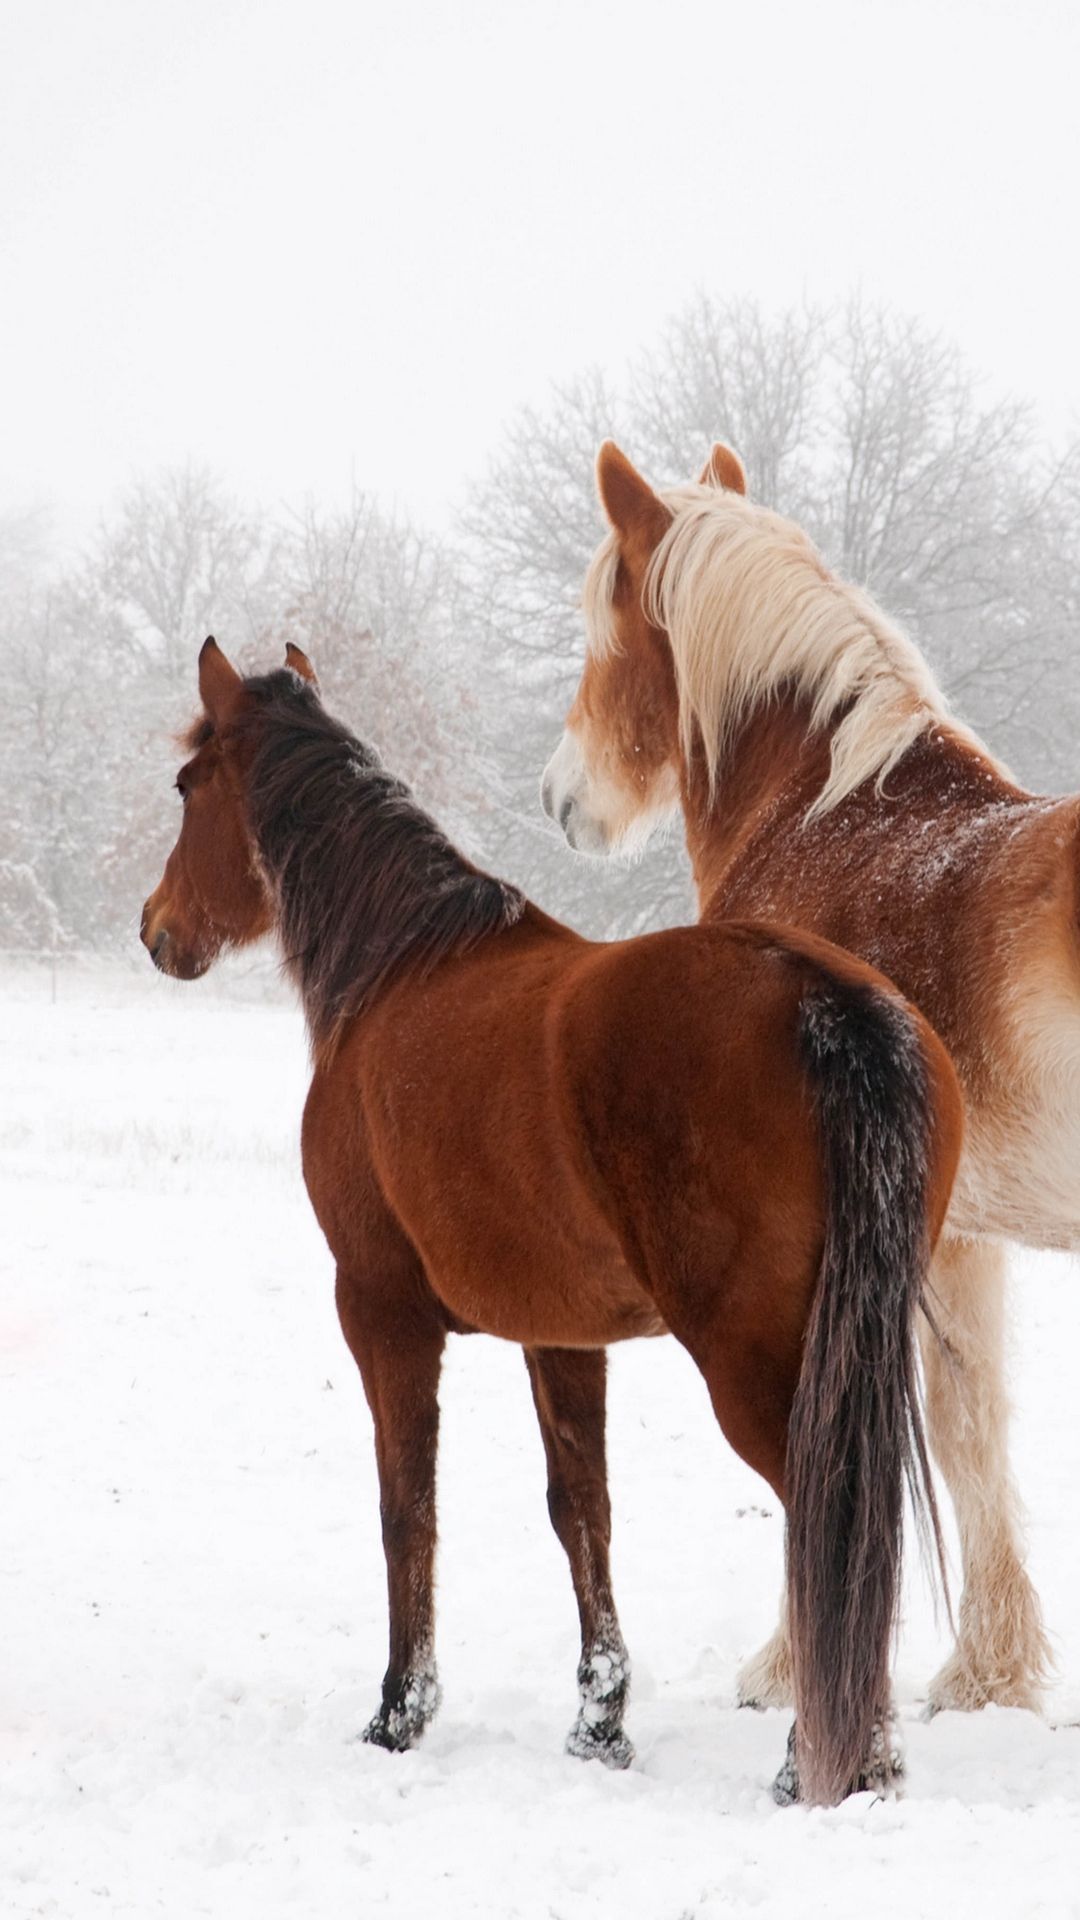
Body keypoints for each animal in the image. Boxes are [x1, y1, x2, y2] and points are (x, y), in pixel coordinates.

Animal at [141, 636, 961, 1806]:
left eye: (186, 785)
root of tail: (823, 998)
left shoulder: (381, 1312)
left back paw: (830, 1763)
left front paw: (398, 1714)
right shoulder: (562, 1335)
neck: (400, 969)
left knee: (829, 1518)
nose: (157, 933)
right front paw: (599, 1724)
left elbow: (408, 1507)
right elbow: (583, 1511)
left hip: (760, 1362)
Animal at [541, 436, 1069, 1721]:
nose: (560, 799)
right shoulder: (964, 1237)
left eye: (599, 628)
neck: (835, 828)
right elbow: (973, 1431)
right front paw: (987, 1677)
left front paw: (790, 1667)